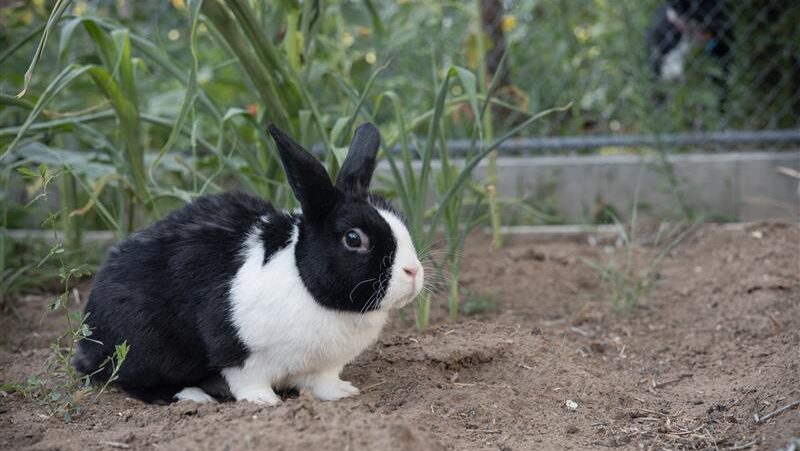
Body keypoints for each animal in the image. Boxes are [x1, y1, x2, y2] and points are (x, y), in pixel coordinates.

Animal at [73, 123, 424, 405]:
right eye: (354, 239)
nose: (414, 272)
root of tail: (87, 341)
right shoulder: (240, 353)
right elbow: (248, 380)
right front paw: (264, 402)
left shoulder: (324, 366)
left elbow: (324, 382)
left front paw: (342, 393)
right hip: (149, 348)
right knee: (133, 380)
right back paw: (194, 396)